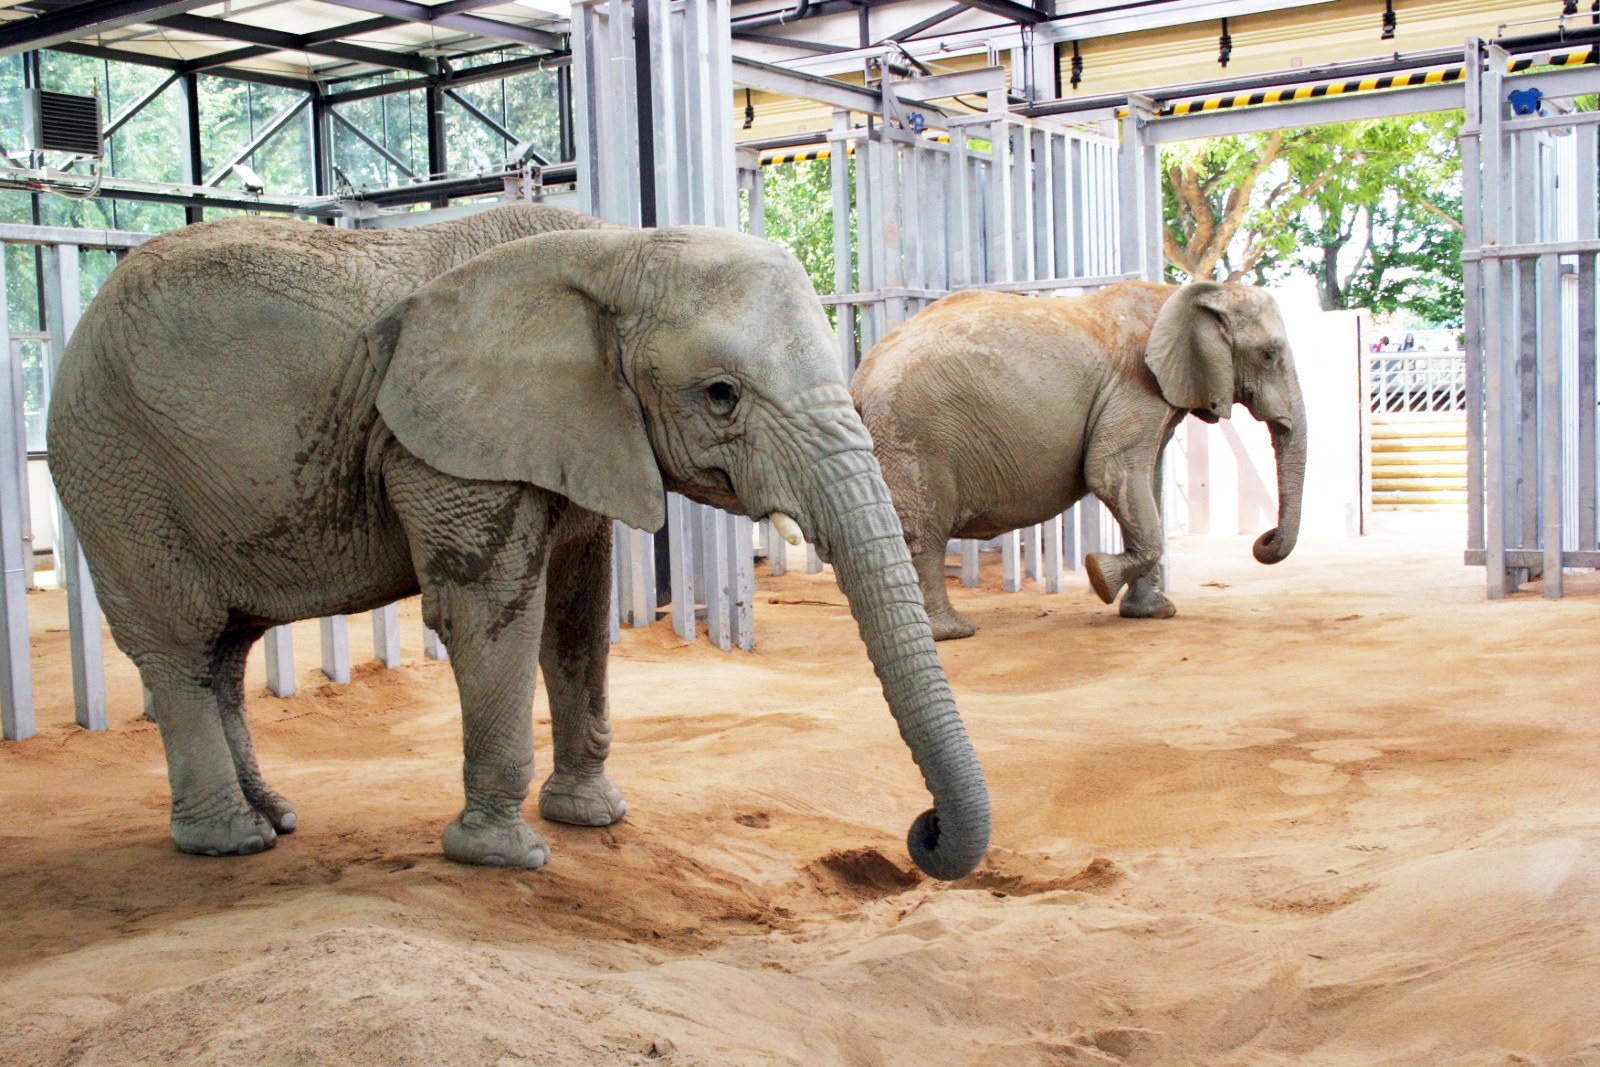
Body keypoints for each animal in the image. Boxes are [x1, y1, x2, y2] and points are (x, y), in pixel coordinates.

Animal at [46, 204, 985, 883]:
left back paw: (275, 818)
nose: (924, 830)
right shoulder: (443, 448)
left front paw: (592, 816)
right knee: (179, 642)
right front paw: (506, 856)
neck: (612, 251)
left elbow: (577, 609)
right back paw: (230, 840)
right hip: (115, 470)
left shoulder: (577, 434)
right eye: (721, 394)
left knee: (226, 650)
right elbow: (488, 609)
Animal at [857, 279, 1305, 639]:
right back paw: (951, 632)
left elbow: (1148, 484)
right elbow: (1111, 474)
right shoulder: (1135, 388)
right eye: (1269, 354)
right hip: (917, 433)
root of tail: (861, 377)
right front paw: (1099, 576)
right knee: (925, 532)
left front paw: (1153, 613)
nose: (1265, 540)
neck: (1186, 294)